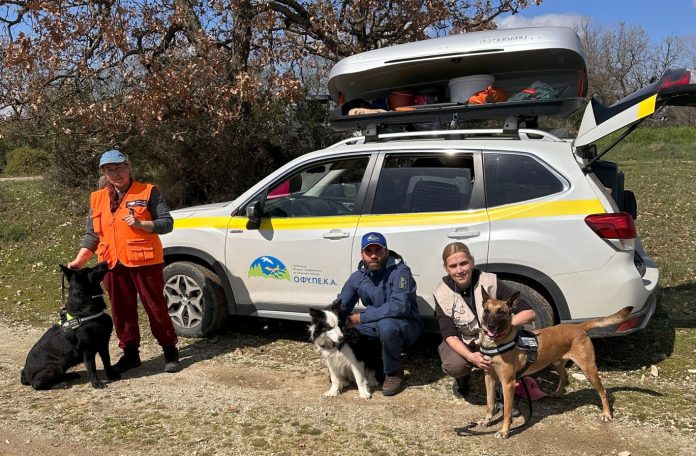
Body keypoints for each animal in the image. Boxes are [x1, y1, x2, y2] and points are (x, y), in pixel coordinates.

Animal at [21, 262, 119, 390]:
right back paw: (60, 384)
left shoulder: (103, 344)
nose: (105, 262)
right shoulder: (88, 350)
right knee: (37, 384)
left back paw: (70, 375)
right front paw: (96, 382)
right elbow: (92, 368)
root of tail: (25, 375)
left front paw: (111, 374)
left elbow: (107, 361)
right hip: (54, 366)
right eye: (90, 269)